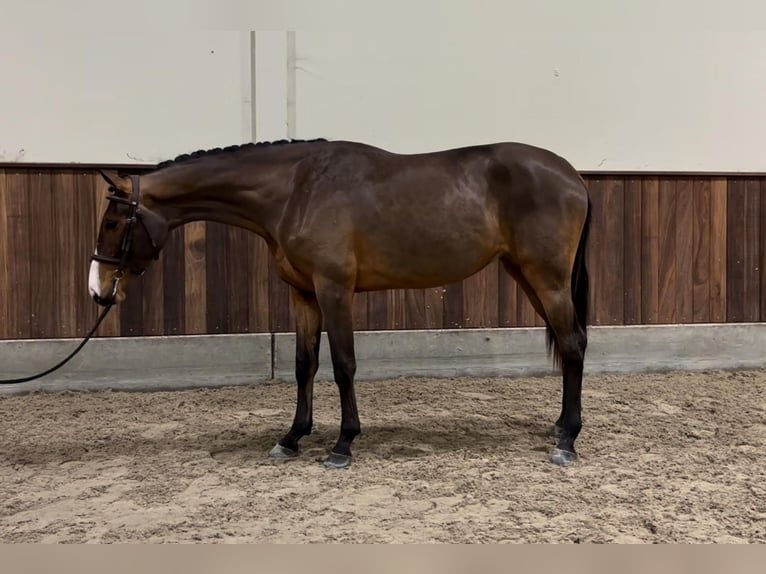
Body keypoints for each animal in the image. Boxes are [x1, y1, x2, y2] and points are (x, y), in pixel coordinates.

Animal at [88, 138, 592, 468]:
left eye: (112, 223)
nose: (98, 289)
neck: (296, 189)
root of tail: (572, 175)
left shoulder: (334, 289)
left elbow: (344, 364)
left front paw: (343, 444)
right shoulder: (304, 294)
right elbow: (304, 364)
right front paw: (292, 437)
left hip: (547, 279)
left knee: (572, 345)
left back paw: (567, 441)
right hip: (527, 276)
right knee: (572, 342)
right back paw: (559, 427)